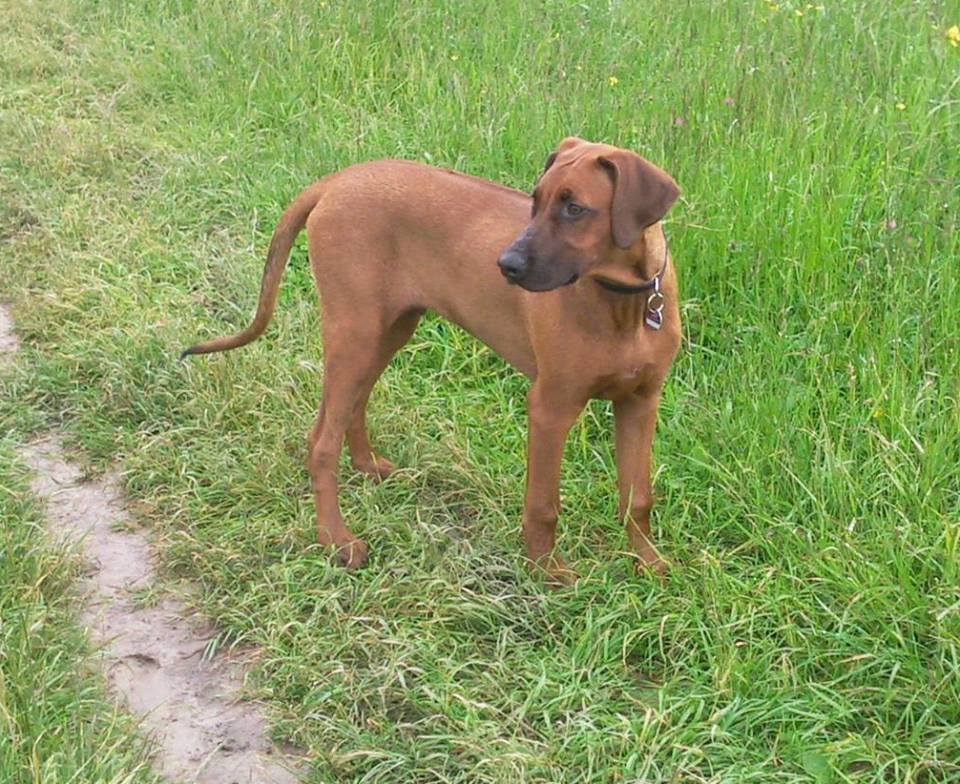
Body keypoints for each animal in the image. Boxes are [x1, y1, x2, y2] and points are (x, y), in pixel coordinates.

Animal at [182, 138, 684, 584]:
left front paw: (648, 565)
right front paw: (547, 573)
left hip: (389, 327)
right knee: (322, 440)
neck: (625, 304)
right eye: (536, 201)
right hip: (355, 328)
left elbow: (638, 498)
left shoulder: (641, 402)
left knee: (350, 407)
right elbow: (543, 505)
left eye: (575, 208)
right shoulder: (550, 406)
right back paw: (337, 541)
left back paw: (367, 467)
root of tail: (335, 181)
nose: (506, 265)